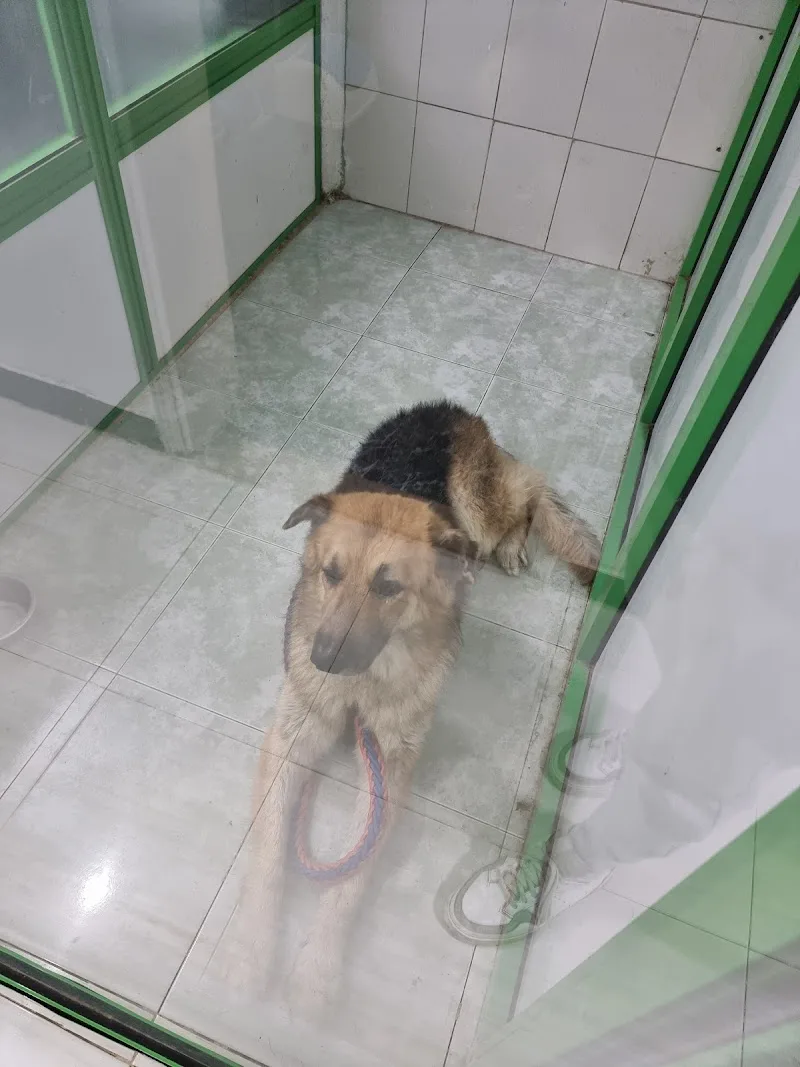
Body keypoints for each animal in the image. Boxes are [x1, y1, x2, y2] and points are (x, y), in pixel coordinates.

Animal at [231, 401, 600, 1006]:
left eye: (389, 588)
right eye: (331, 574)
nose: (323, 660)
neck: (363, 686)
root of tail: (447, 409)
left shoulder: (391, 768)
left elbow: (351, 881)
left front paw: (318, 971)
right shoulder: (290, 742)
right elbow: (266, 855)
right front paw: (250, 955)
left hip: (478, 509)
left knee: (528, 495)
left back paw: (512, 545)